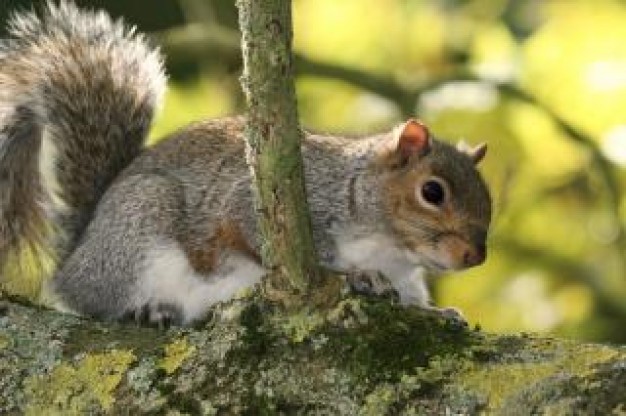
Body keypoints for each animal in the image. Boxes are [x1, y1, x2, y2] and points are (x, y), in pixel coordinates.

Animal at [0, 1, 490, 326]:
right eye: (432, 192)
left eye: (488, 200)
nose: (475, 256)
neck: (390, 244)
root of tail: (76, 255)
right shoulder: (276, 202)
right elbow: (264, 236)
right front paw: (359, 276)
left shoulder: (407, 276)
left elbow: (411, 300)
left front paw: (440, 312)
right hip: (137, 233)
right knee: (95, 301)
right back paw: (145, 308)